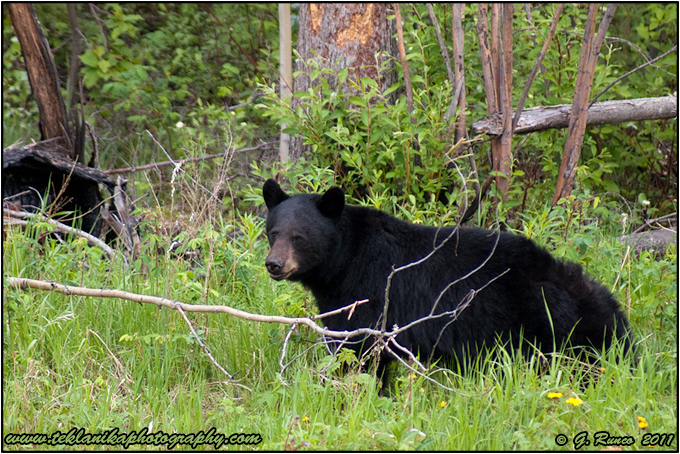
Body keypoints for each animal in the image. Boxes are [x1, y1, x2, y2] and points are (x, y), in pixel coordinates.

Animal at [262, 179, 633, 383]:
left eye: (300, 237)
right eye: (274, 232)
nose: (274, 265)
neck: (343, 261)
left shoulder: (368, 293)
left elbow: (359, 350)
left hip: (546, 325)